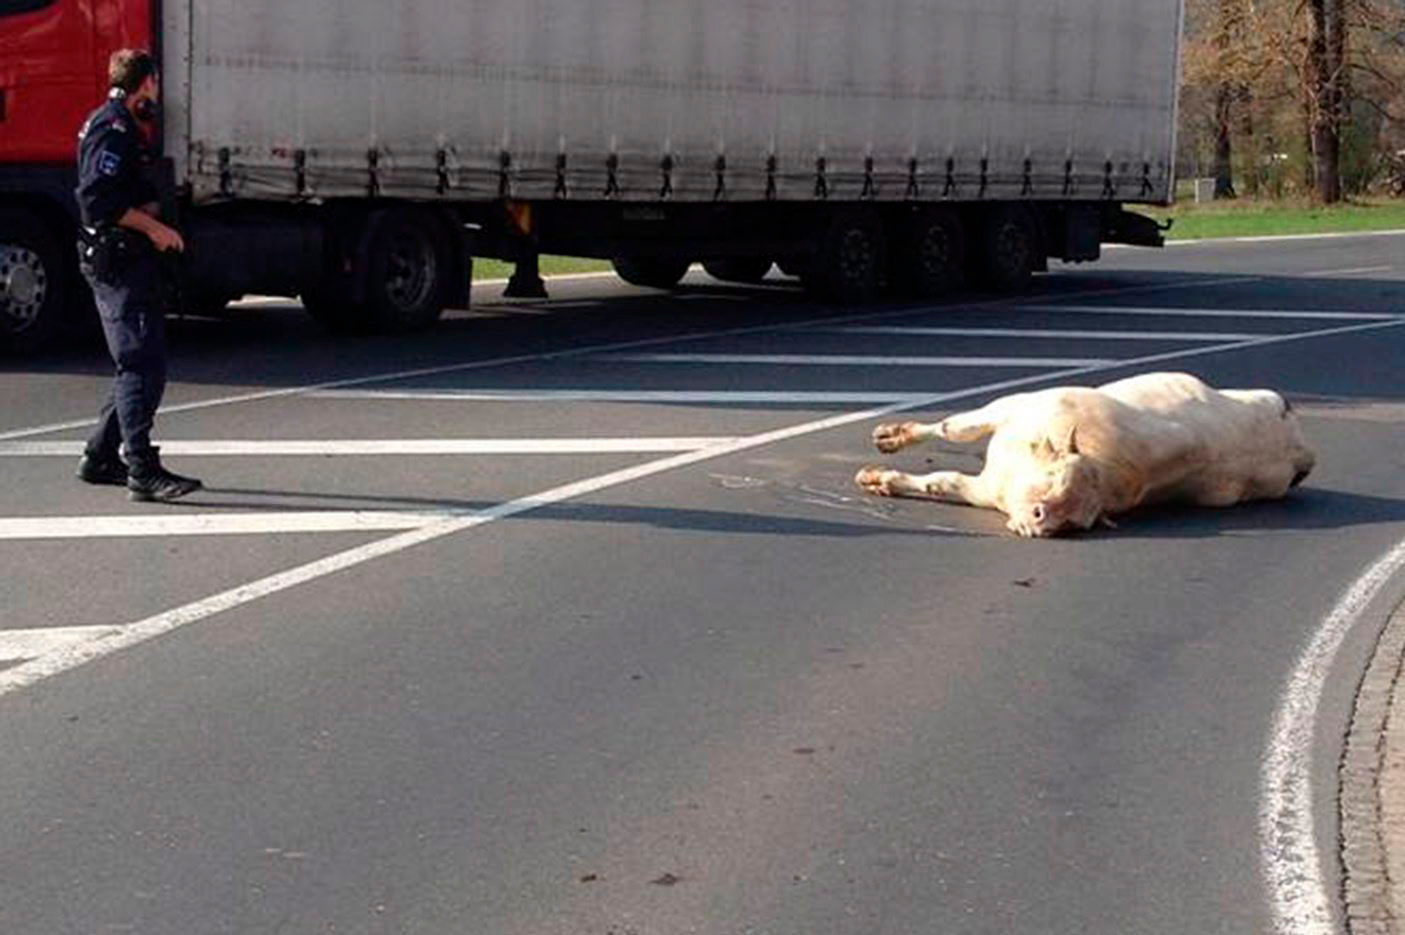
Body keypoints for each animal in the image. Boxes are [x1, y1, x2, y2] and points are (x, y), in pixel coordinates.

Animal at [854, 368, 1315, 537]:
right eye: (1057, 479)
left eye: (1077, 522)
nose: (1043, 520)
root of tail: (1301, 452)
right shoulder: (1012, 406)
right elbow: (951, 428)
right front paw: (891, 439)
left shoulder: (983, 487)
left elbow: (941, 480)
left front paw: (881, 478)